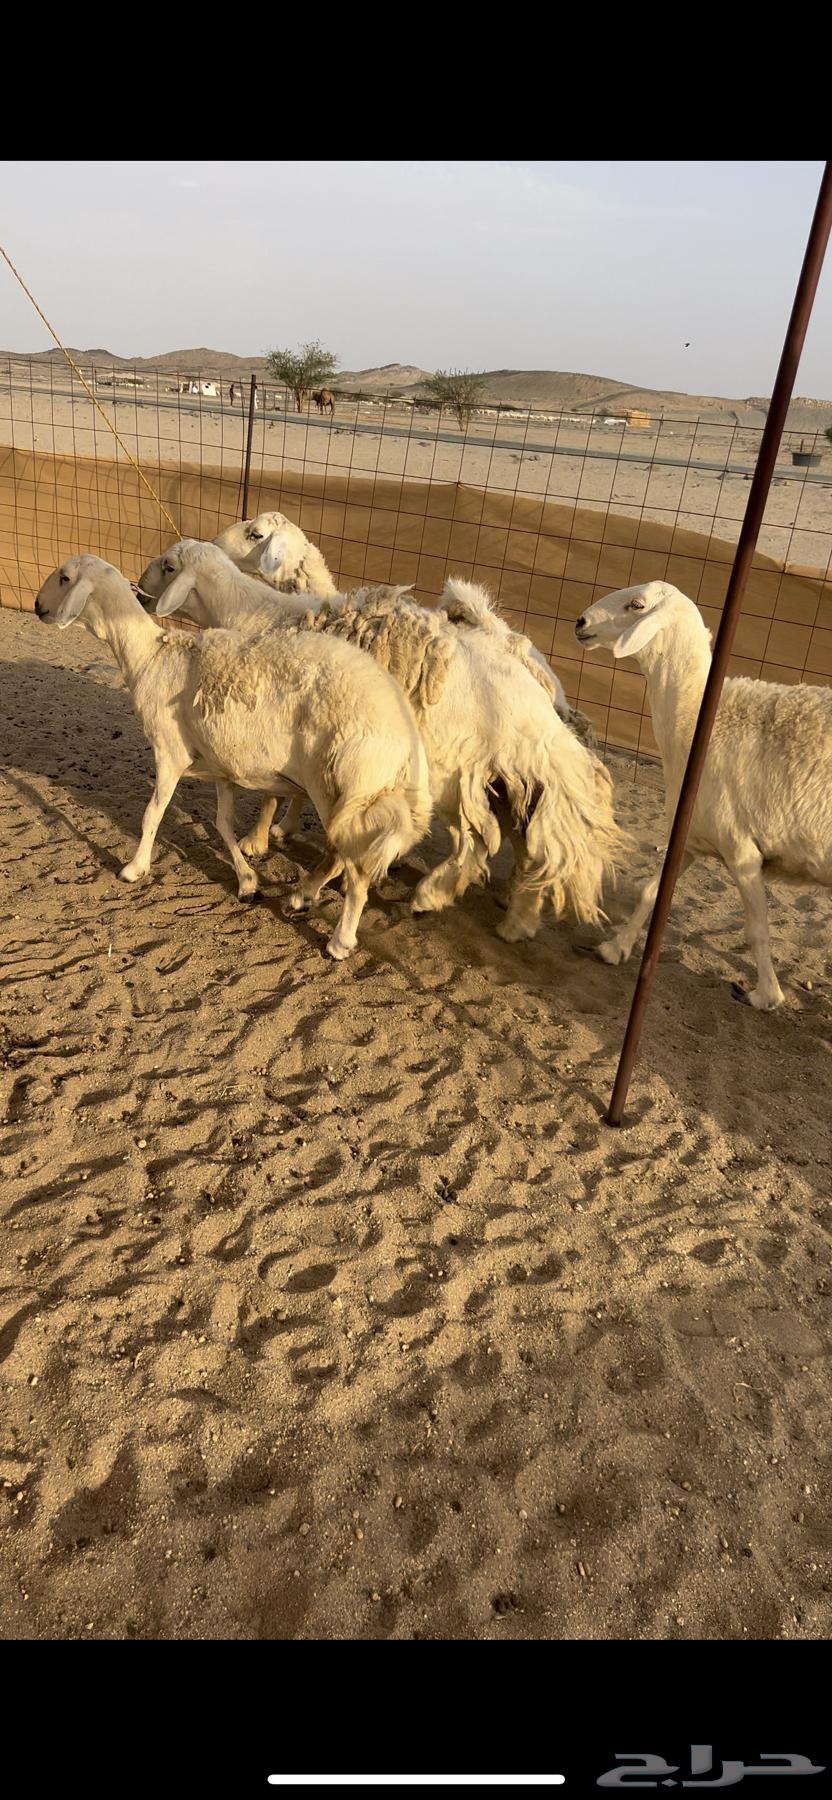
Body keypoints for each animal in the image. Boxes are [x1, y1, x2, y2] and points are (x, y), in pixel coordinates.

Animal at [35, 555, 432, 961]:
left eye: (64, 578)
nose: (37, 607)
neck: (150, 656)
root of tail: (404, 737)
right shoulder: (222, 768)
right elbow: (223, 824)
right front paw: (247, 882)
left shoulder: (169, 753)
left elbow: (152, 815)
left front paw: (134, 868)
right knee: (341, 857)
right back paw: (302, 898)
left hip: (339, 787)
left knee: (354, 866)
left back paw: (338, 939)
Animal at [139, 540, 628, 942]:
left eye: (168, 566)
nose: (139, 590)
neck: (260, 614)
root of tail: (536, 709)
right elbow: (284, 794)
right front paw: (271, 835)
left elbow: (278, 798)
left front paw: (263, 845)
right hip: (504, 780)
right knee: (527, 843)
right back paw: (517, 917)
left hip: (448, 772)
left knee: (473, 843)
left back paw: (425, 895)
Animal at [575, 580, 832, 1008]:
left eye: (636, 605)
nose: (581, 622)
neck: (697, 714)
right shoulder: (692, 837)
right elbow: (650, 892)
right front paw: (616, 947)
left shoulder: (742, 851)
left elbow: (757, 929)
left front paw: (766, 996)